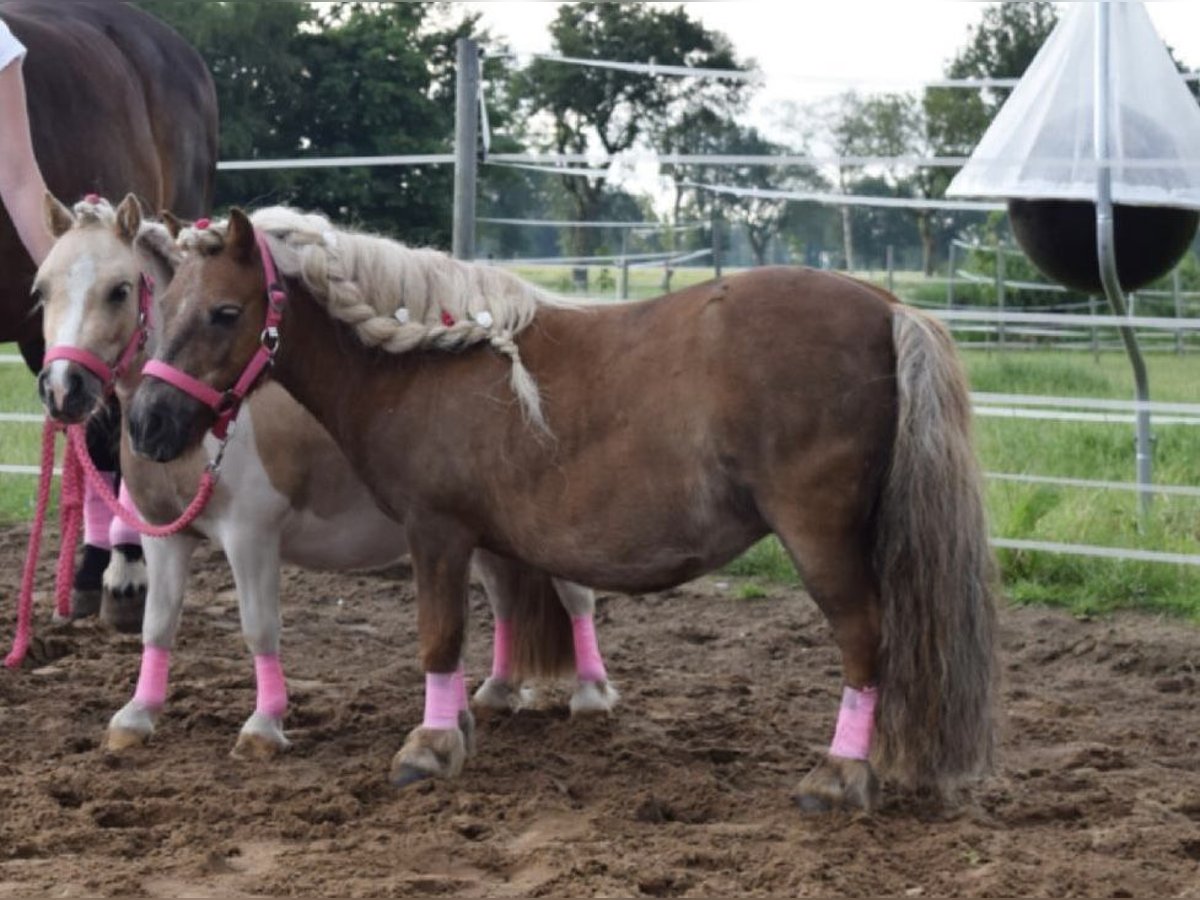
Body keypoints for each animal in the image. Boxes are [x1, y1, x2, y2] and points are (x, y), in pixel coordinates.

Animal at [36, 195, 614, 763]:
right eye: (42, 290)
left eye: (120, 290)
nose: (63, 388)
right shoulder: (164, 537)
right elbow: (157, 623)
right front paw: (136, 717)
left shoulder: (250, 536)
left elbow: (259, 628)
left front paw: (264, 725)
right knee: (505, 598)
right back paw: (496, 690)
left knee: (576, 600)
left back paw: (591, 694)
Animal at [129, 207, 1003, 816]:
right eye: (160, 305)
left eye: (224, 313)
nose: (147, 423)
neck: (421, 362)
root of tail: (887, 306)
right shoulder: (475, 539)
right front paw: (465, 721)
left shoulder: (435, 532)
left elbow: (438, 638)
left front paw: (430, 745)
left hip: (818, 536)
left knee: (864, 638)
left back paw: (840, 772)